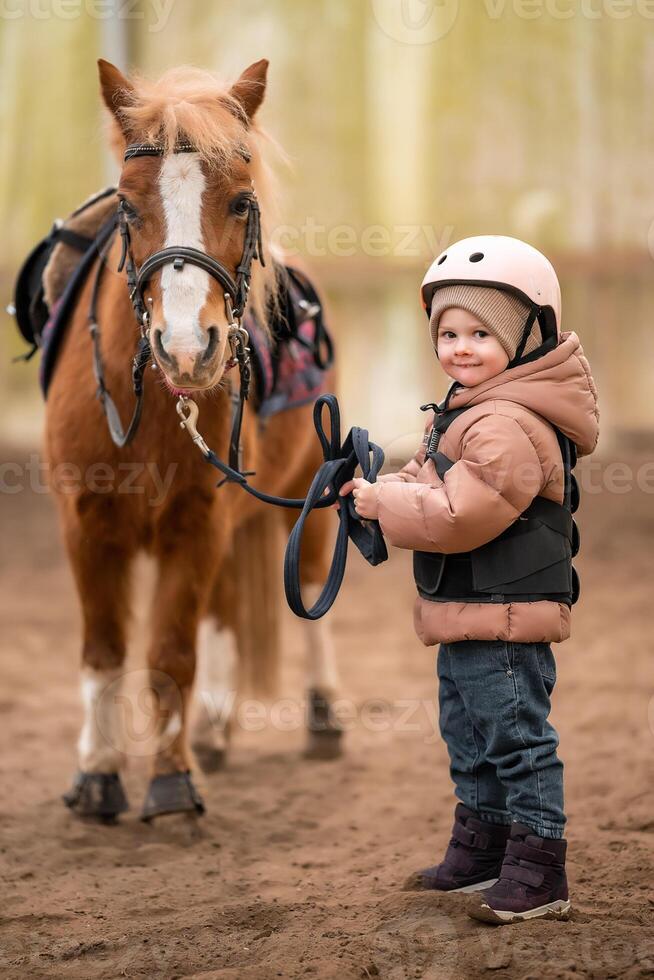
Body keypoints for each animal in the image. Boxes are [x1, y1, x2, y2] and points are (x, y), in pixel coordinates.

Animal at [47, 59, 344, 820]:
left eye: (240, 202)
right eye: (127, 208)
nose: (186, 348)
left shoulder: (199, 521)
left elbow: (170, 652)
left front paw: (171, 779)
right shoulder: (86, 524)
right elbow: (104, 650)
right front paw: (97, 775)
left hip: (310, 496)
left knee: (308, 589)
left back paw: (323, 716)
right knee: (223, 611)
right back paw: (212, 726)